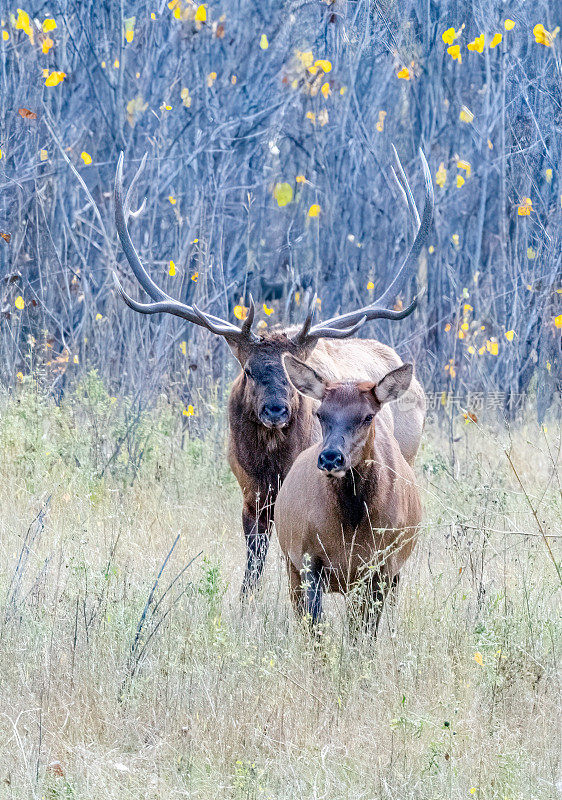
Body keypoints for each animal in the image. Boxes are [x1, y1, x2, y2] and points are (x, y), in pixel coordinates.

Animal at [111, 147, 430, 596]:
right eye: (248, 369)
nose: (277, 409)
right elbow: (253, 567)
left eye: (293, 372)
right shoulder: (250, 496)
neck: (271, 467)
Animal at [272, 356, 420, 632]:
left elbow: (365, 631)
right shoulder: (308, 557)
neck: (350, 528)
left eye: (368, 416)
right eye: (321, 413)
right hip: (291, 563)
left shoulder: (381, 565)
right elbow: (315, 624)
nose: (331, 457)